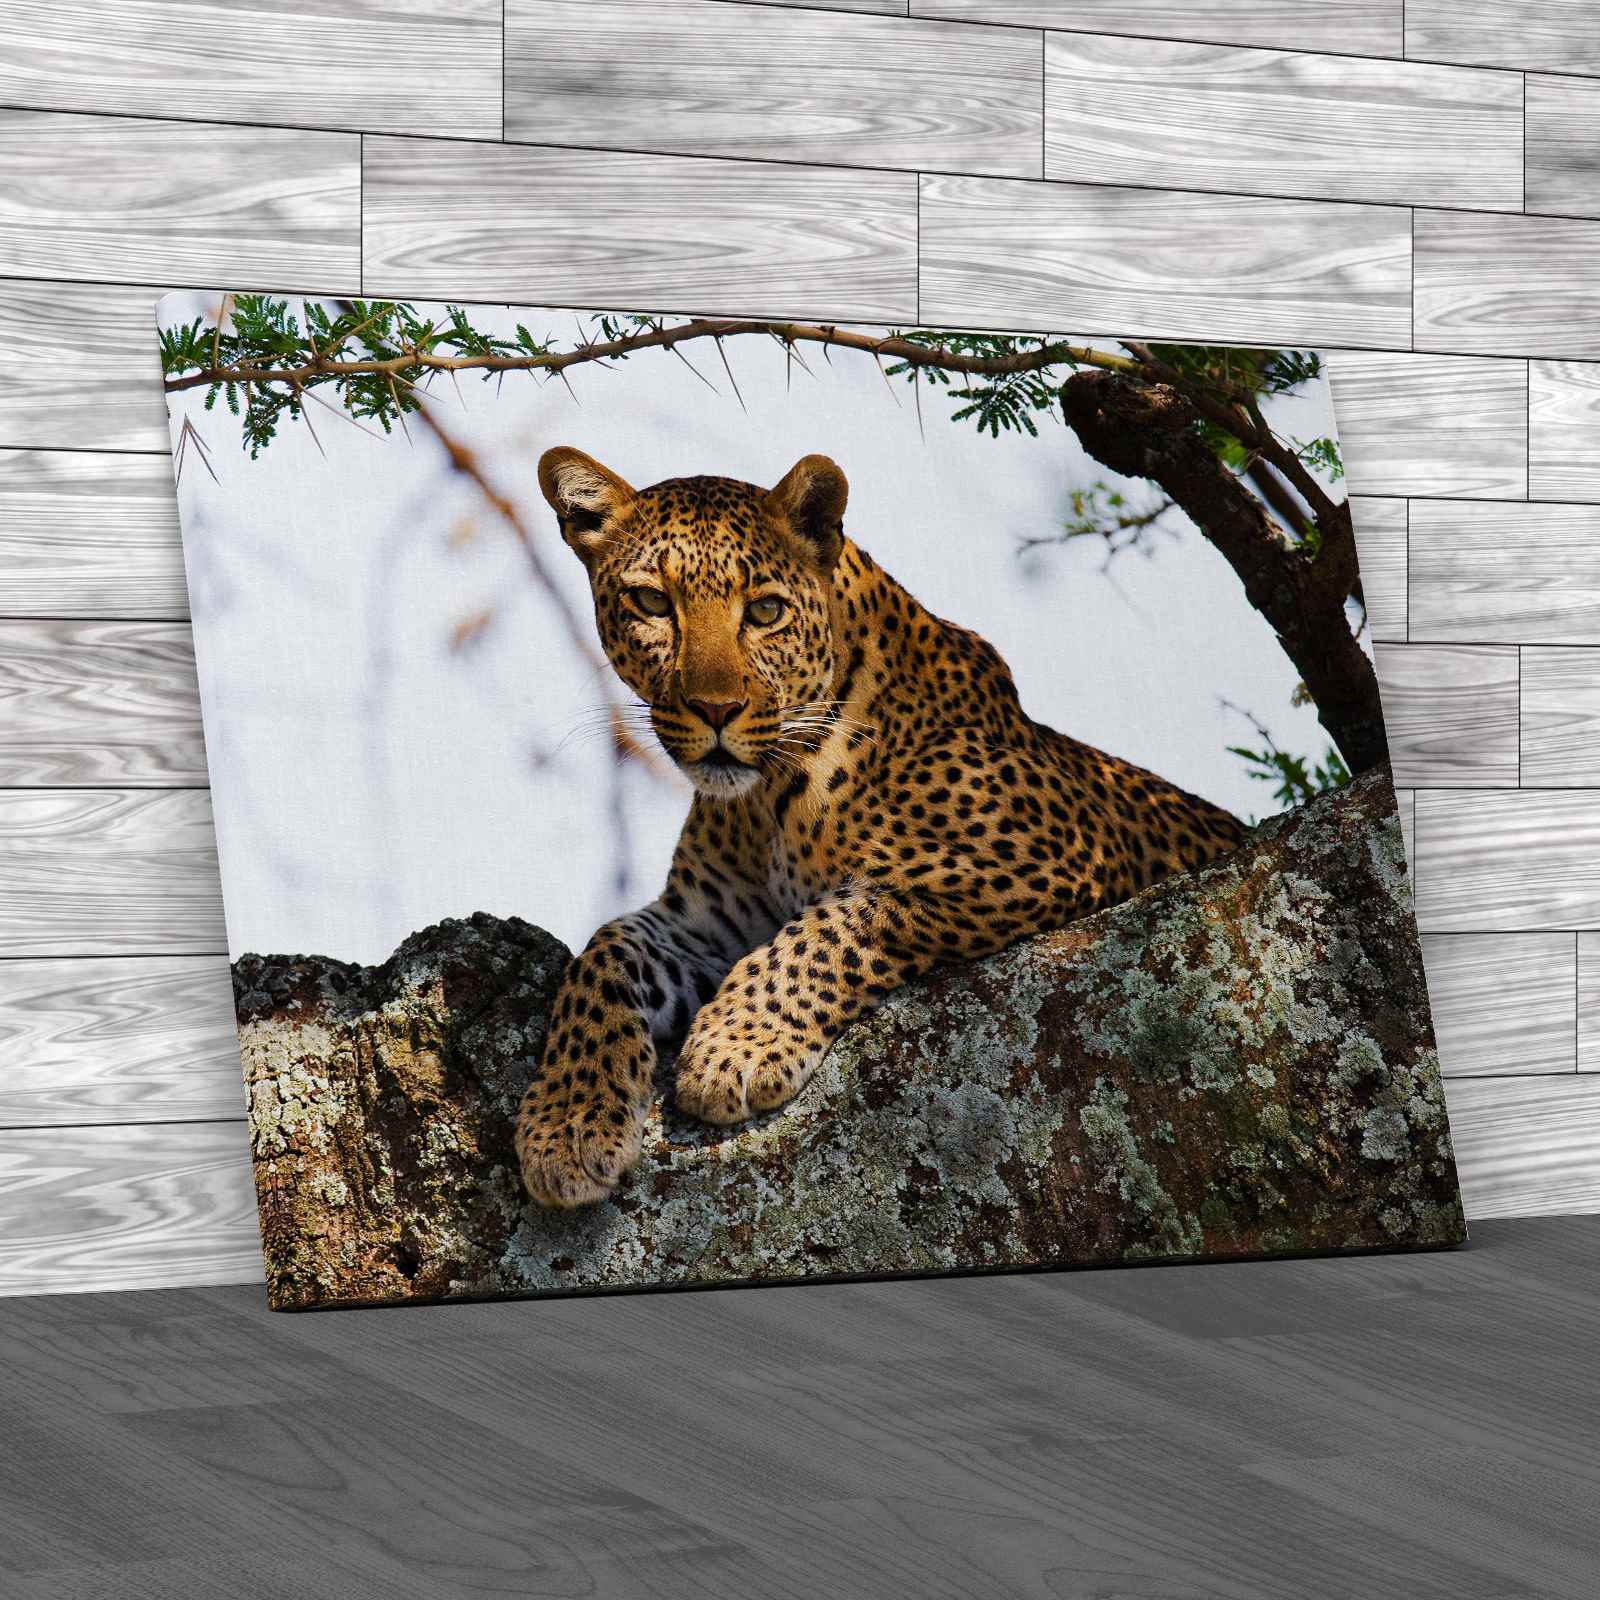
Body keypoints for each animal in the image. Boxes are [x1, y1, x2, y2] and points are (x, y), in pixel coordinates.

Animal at [515, 446, 1247, 1209]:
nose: (716, 710)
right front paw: (567, 1124)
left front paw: (734, 1047)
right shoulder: (707, 926)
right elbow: (604, 952)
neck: (767, 799)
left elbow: (835, 924)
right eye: (654, 603)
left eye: (766, 611)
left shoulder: (1040, 857)